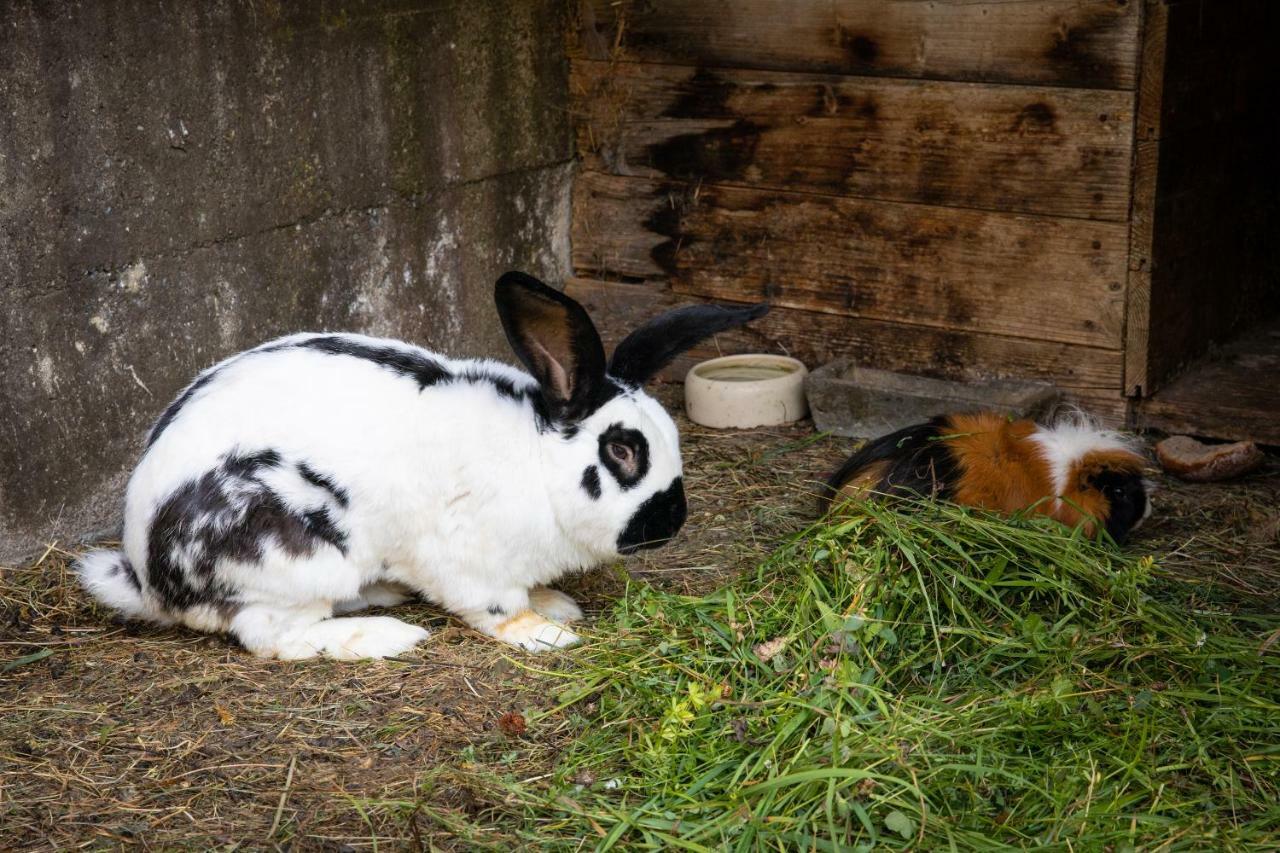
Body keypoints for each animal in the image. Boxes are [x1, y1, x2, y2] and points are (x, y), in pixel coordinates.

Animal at [77, 272, 768, 655]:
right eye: (622, 451)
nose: (672, 522)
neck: (536, 460)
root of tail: (147, 576)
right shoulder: (469, 561)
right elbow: (495, 607)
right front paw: (545, 633)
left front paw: (556, 603)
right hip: (293, 554)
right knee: (273, 638)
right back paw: (384, 637)